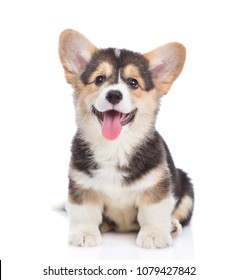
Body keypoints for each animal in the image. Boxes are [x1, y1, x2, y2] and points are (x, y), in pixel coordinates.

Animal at [58, 28, 194, 248]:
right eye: (99, 79)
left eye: (133, 82)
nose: (114, 95)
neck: (115, 146)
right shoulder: (82, 184)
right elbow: (84, 212)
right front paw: (85, 234)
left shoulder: (156, 185)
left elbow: (153, 212)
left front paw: (154, 235)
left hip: (187, 188)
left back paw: (172, 226)